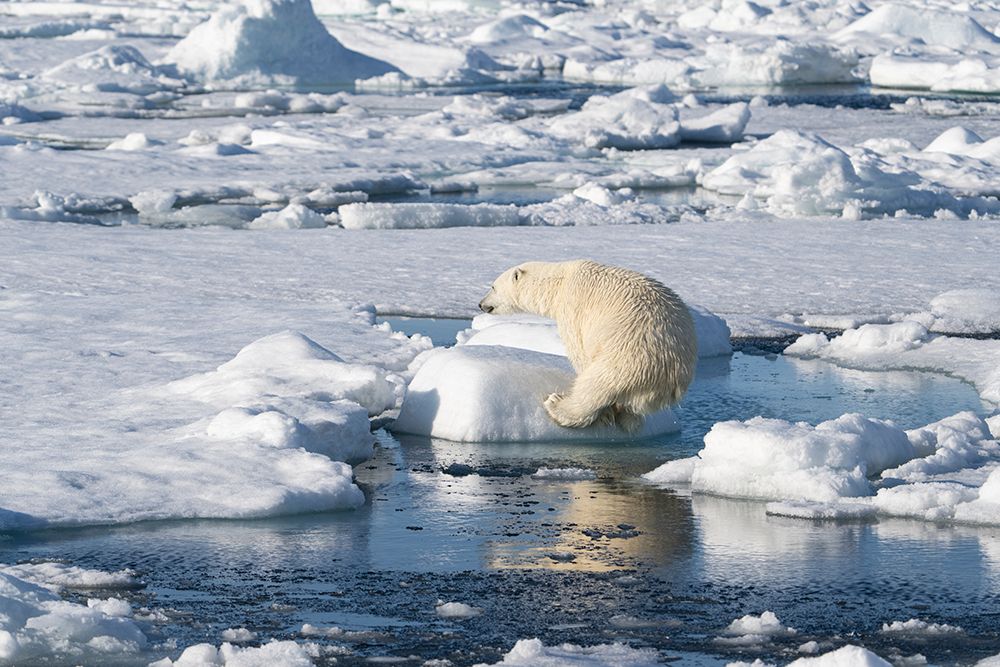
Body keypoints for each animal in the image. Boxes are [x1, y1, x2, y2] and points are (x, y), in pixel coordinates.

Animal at [478, 260, 698, 433]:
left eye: (493, 287)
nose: (481, 304)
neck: (559, 283)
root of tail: (674, 370)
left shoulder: (573, 310)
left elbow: (580, 352)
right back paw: (629, 417)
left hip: (631, 353)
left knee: (597, 382)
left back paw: (558, 405)